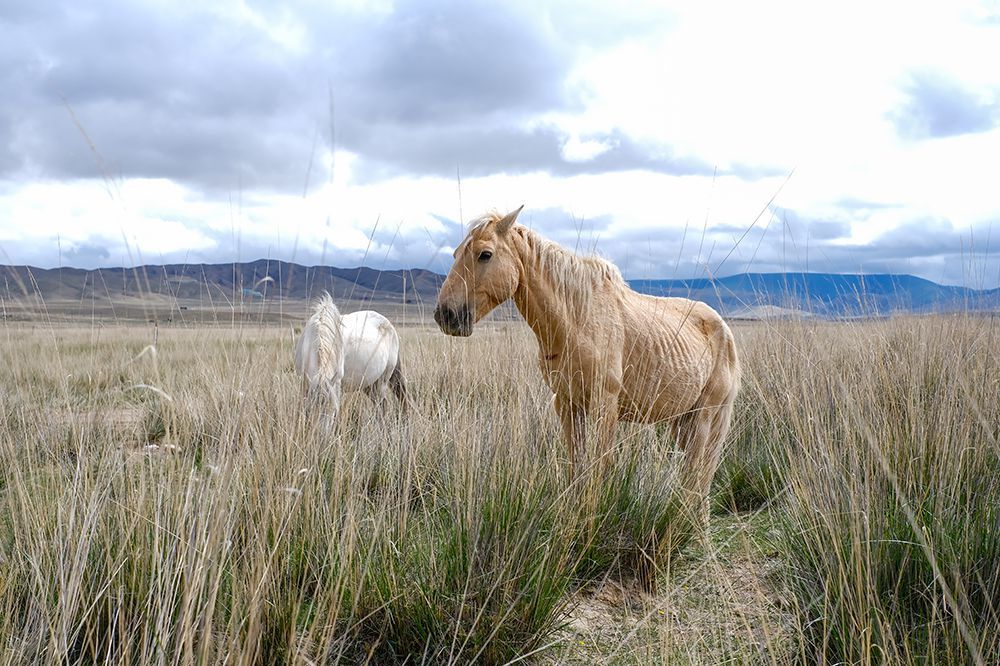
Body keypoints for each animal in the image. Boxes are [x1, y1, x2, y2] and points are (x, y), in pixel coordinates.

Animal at [294, 290, 408, 426]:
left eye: (333, 411)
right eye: (313, 409)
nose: (322, 432)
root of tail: (389, 324)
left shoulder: (336, 385)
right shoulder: (304, 383)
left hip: (383, 380)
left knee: (383, 405)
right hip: (369, 384)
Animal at [434, 208, 740, 512]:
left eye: (485, 254)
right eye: (456, 254)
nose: (446, 315)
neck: (576, 321)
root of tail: (724, 329)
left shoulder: (604, 405)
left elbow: (599, 468)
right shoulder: (567, 403)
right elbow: (577, 467)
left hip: (705, 416)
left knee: (698, 472)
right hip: (682, 419)